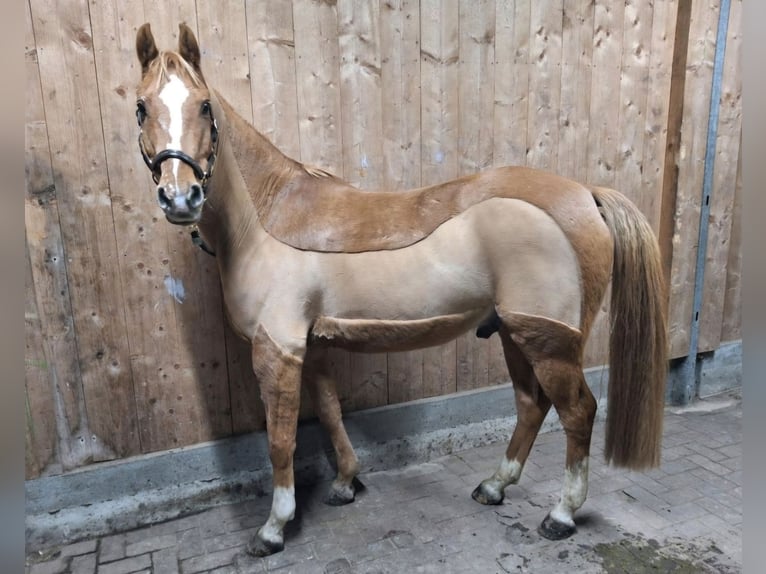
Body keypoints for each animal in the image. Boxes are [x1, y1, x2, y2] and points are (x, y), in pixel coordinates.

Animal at [134, 22, 668, 557]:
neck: (264, 220)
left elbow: (280, 440)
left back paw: (560, 514)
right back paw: (494, 486)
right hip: (516, 334)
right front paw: (345, 484)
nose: (180, 198)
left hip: (549, 342)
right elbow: (330, 413)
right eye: (141, 107)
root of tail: (587, 195)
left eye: (205, 106)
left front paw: (273, 528)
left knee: (578, 411)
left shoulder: (277, 350)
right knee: (531, 406)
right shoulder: (315, 346)